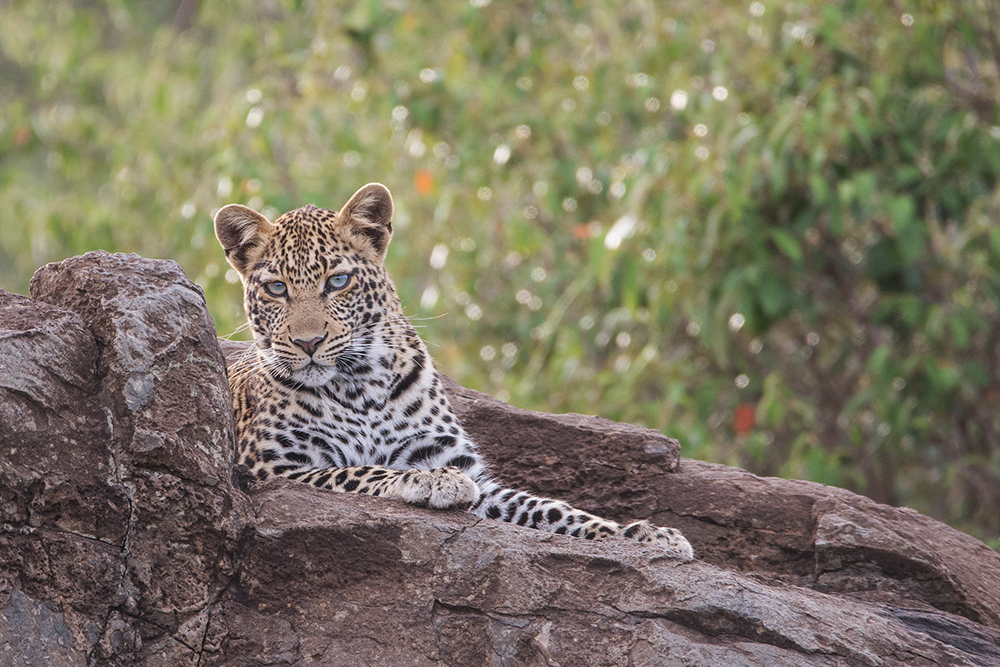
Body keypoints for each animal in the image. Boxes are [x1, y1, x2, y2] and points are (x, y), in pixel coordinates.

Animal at [214, 180, 692, 560]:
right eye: (277, 288)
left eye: (338, 282)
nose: (308, 343)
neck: (359, 385)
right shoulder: (270, 472)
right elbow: (358, 471)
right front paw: (431, 481)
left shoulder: (471, 472)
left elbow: (549, 507)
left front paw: (640, 534)